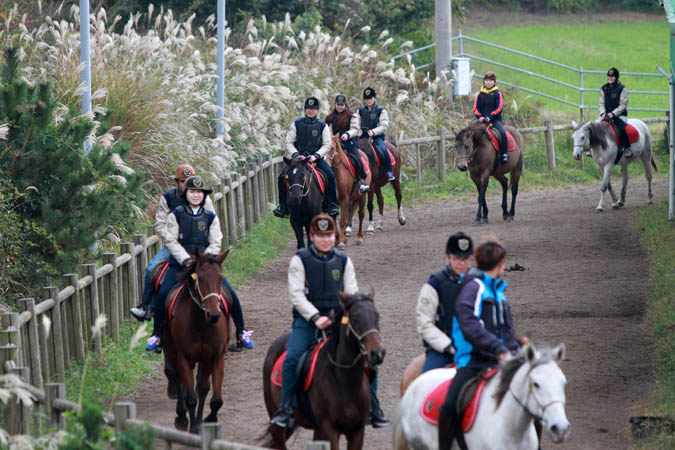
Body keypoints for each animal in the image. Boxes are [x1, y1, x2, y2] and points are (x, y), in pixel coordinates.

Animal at [162, 251, 232, 434]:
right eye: (199, 278)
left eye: (221, 278)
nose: (214, 315)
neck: (201, 324)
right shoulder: (184, 358)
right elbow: (191, 397)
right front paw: (193, 427)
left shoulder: (215, 357)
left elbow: (210, 394)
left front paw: (206, 420)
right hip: (171, 351)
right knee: (177, 379)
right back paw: (181, 417)